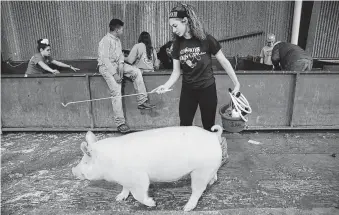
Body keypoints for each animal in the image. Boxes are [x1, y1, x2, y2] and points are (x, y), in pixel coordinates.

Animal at [73, 125, 230, 211]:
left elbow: (139, 194)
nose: (73, 170)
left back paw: (186, 208)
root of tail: (213, 135)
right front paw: (118, 198)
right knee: (213, 176)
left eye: (85, 162)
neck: (108, 163)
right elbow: (125, 188)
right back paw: (211, 182)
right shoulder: (125, 178)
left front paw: (153, 203)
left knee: (198, 190)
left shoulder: (138, 177)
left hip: (200, 170)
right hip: (208, 167)